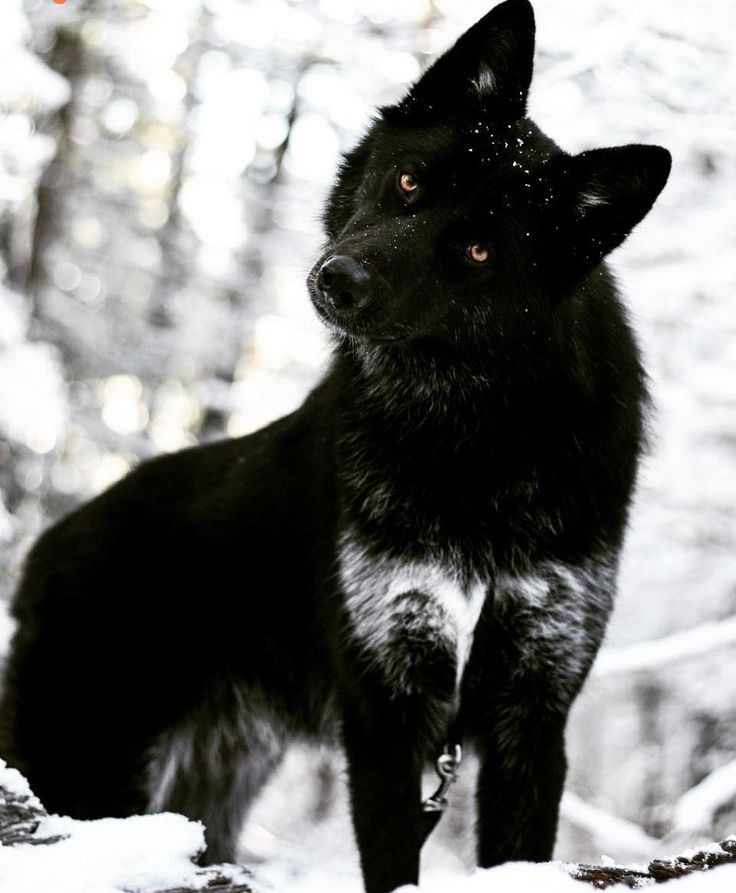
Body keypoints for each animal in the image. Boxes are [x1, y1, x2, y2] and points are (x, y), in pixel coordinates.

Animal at [0, 3, 668, 888]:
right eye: (411, 181)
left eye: (480, 250)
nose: (339, 280)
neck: (474, 444)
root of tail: (42, 554)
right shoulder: (389, 710)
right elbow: (392, 858)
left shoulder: (533, 707)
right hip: (93, 778)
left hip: (203, 799)